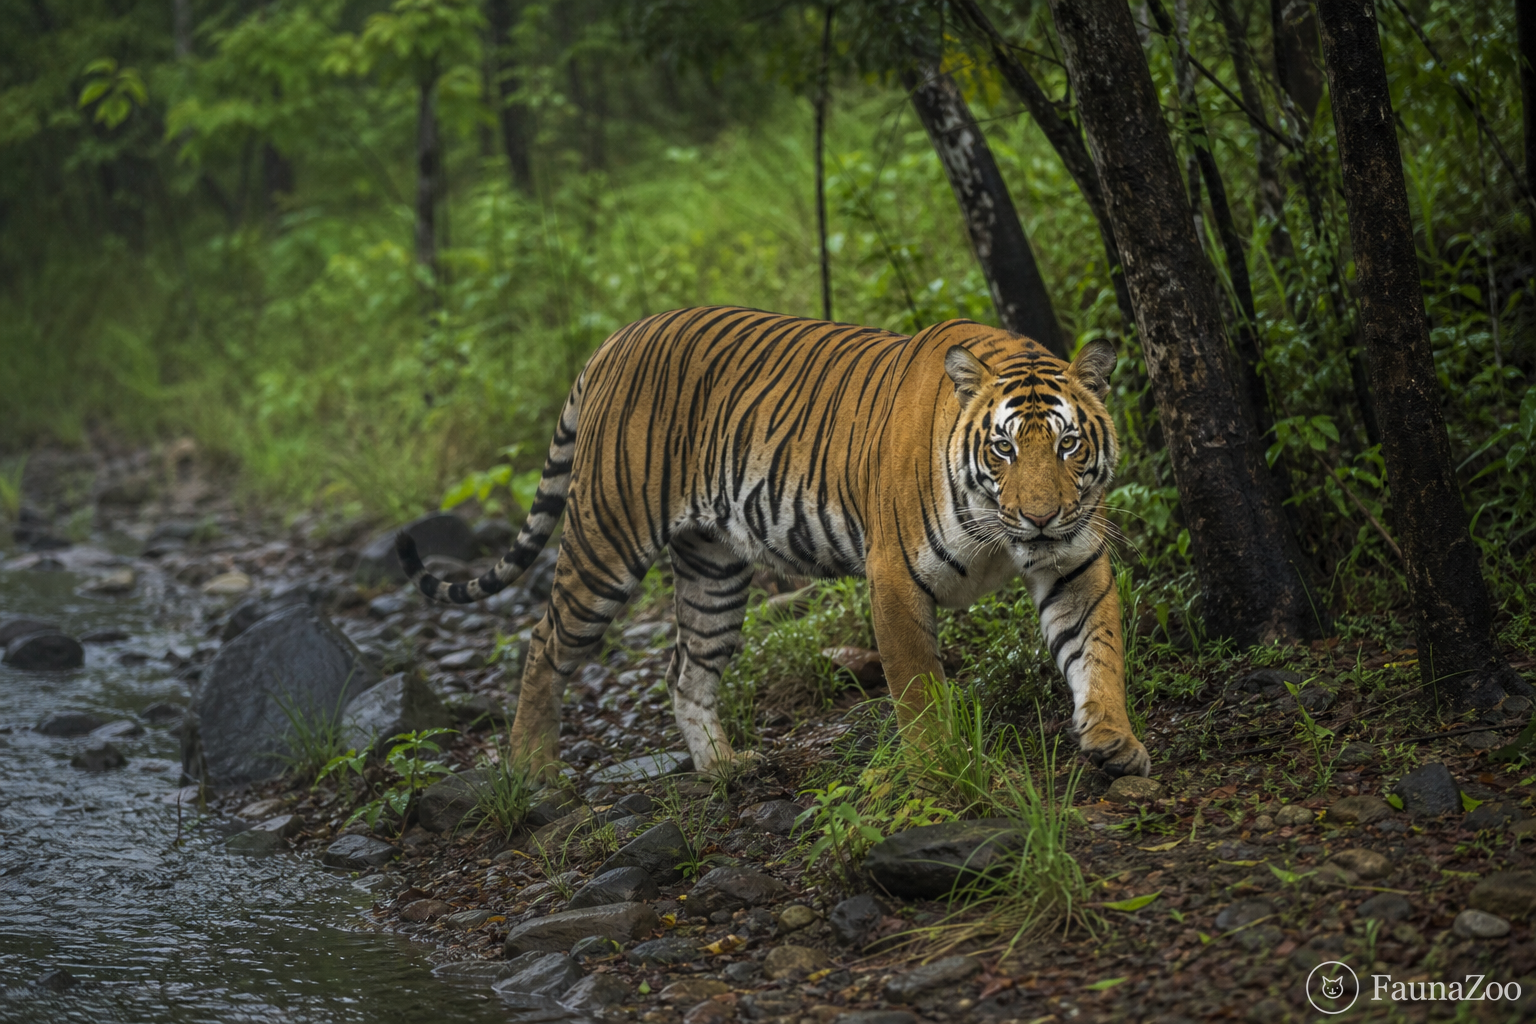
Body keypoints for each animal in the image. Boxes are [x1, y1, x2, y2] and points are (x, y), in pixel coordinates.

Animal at [397, 306, 1151, 780]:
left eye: (1068, 445)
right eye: (1002, 449)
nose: (1040, 516)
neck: (1003, 533)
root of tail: (615, 338)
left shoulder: (1075, 561)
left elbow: (1098, 652)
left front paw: (1114, 740)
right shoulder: (894, 577)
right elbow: (917, 689)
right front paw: (941, 767)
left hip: (713, 573)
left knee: (685, 669)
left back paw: (724, 767)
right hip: (605, 540)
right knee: (544, 641)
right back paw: (533, 771)